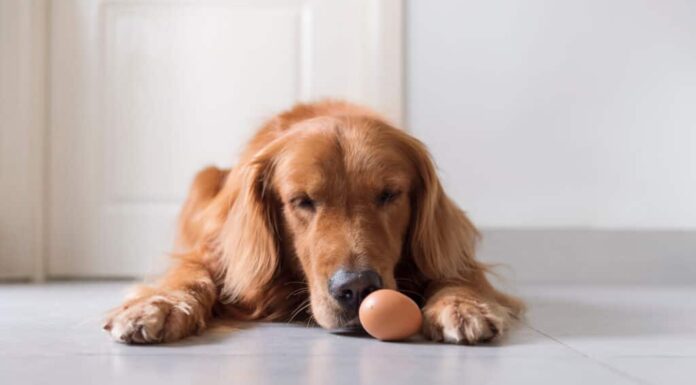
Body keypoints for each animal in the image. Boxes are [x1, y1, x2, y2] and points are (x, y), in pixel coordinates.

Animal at [103, 100, 520, 344]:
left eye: (389, 194)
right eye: (302, 201)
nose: (356, 288)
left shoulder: (450, 251)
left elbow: (456, 272)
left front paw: (462, 305)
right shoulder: (216, 249)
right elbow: (190, 273)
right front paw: (158, 305)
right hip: (203, 178)